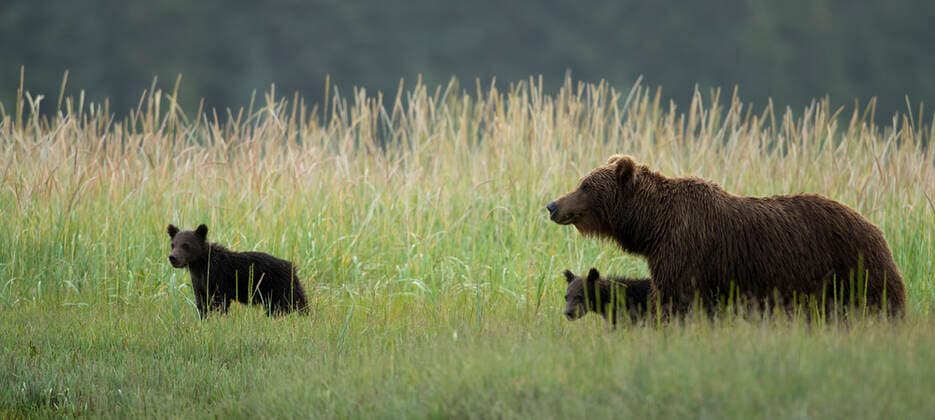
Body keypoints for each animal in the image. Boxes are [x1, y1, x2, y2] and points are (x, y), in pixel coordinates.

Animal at [167, 224, 309, 318]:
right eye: (173, 244)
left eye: (186, 245)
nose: (173, 258)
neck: (199, 265)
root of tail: (293, 267)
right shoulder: (199, 283)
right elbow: (202, 304)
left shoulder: (219, 279)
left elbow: (220, 303)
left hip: (281, 289)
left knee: (297, 304)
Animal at [546, 155, 906, 318]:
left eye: (585, 185)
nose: (552, 205)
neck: (653, 227)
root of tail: (876, 227)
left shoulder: (686, 251)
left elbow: (678, 300)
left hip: (853, 267)